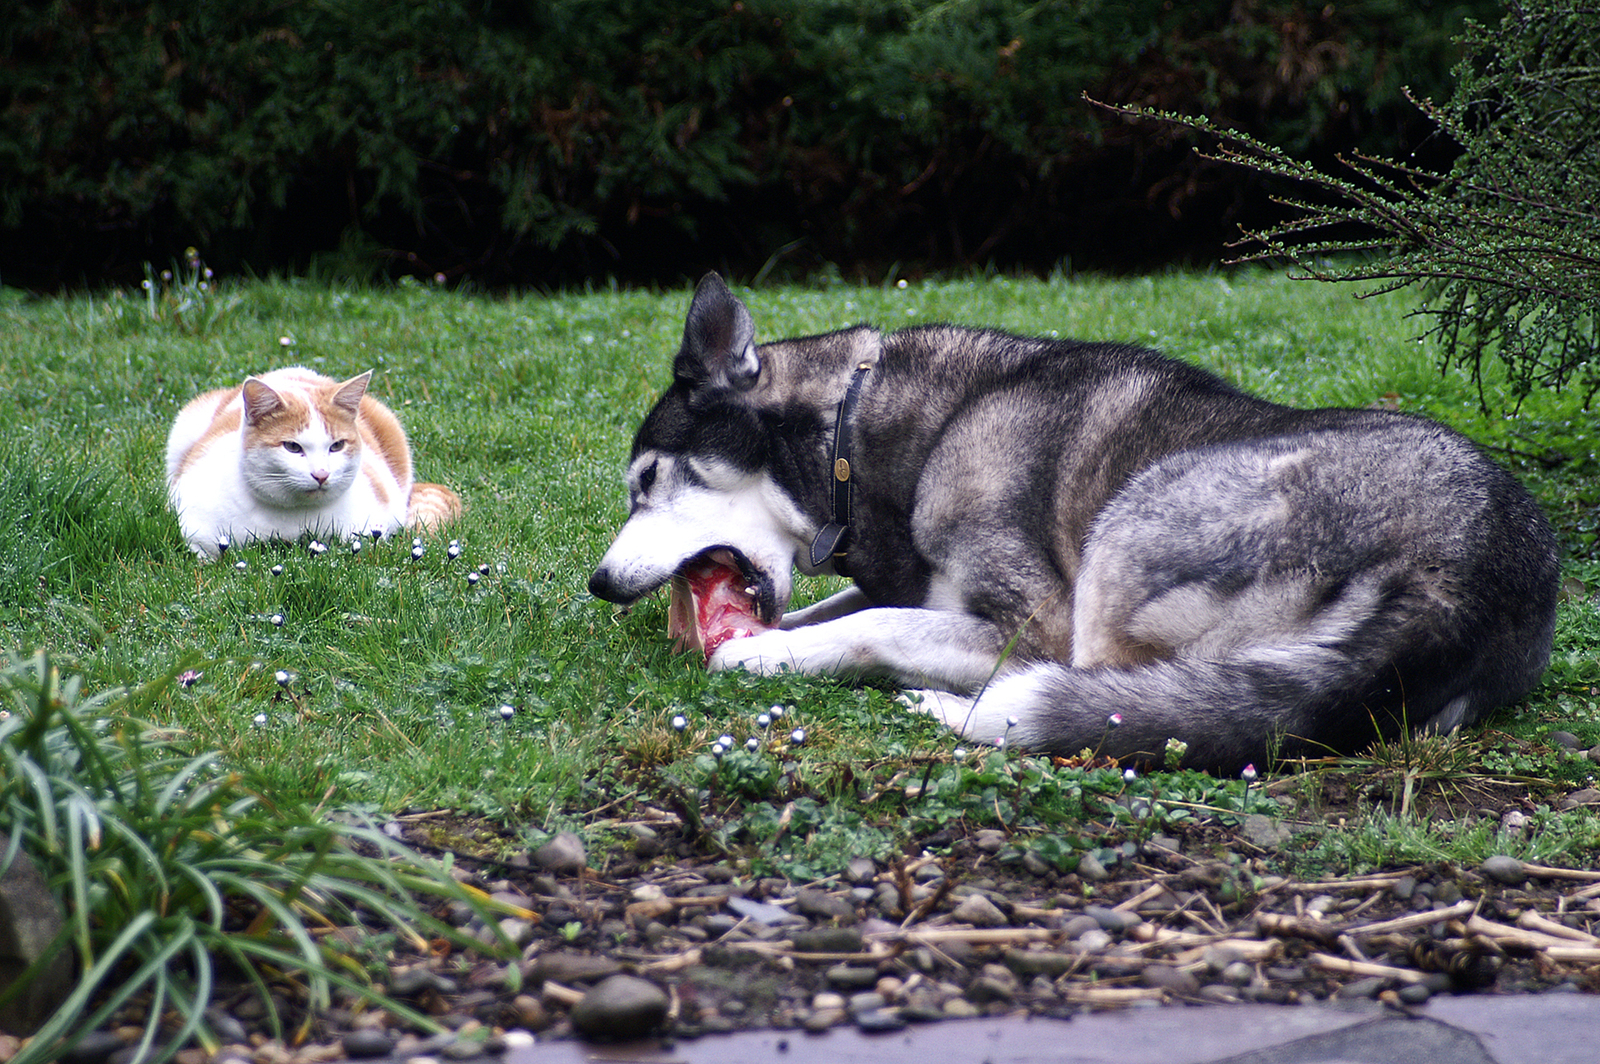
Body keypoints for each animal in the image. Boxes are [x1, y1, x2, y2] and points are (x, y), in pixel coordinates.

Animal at [588, 275, 1548, 771]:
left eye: (649, 480)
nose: (597, 584)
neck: (850, 435)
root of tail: (1467, 568)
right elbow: (845, 608)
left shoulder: (1031, 621)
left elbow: (870, 624)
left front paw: (754, 653)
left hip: (1134, 520)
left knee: (1103, 699)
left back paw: (956, 709)